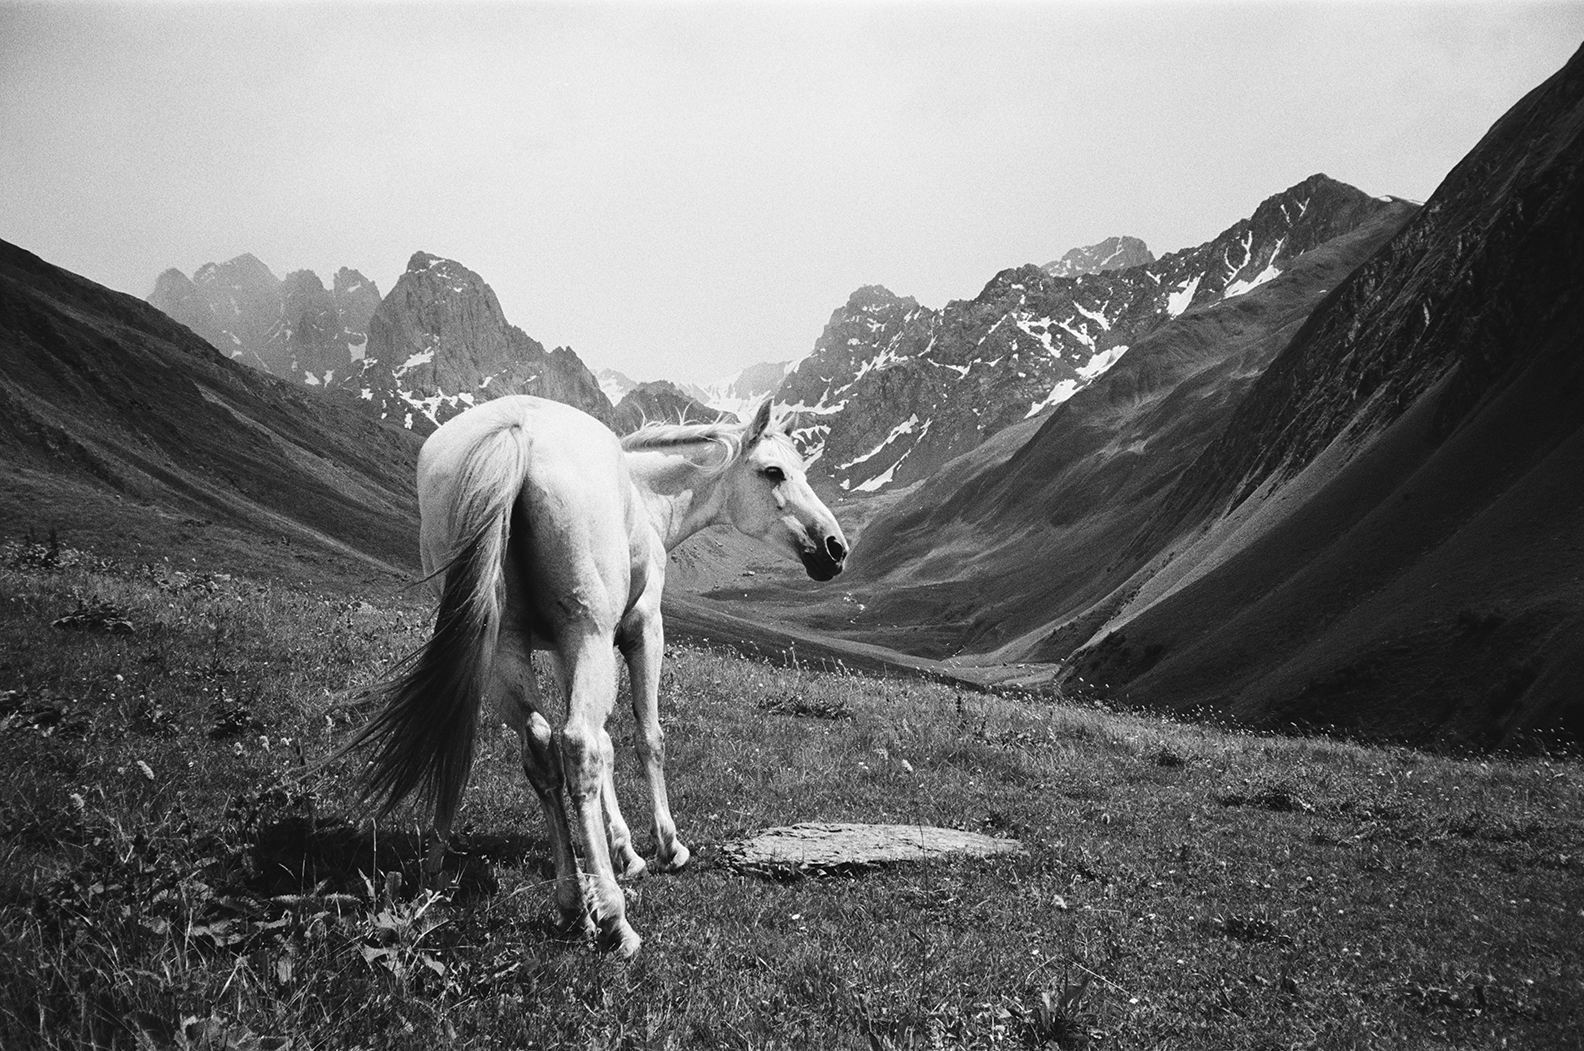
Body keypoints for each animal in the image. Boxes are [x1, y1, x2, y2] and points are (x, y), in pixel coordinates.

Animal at [346, 395, 846, 956]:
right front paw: (666, 846)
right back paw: (613, 918)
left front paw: (623, 850)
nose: (835, 547)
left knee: (544, 748)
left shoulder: (567, 652)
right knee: (578, 744)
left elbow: (605, 746)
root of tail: (518, 431)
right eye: (774, 471)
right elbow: (645, 737)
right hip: (585, 634)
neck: (645, 498)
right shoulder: (640, 630)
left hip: (507, 644)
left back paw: (569, 904)